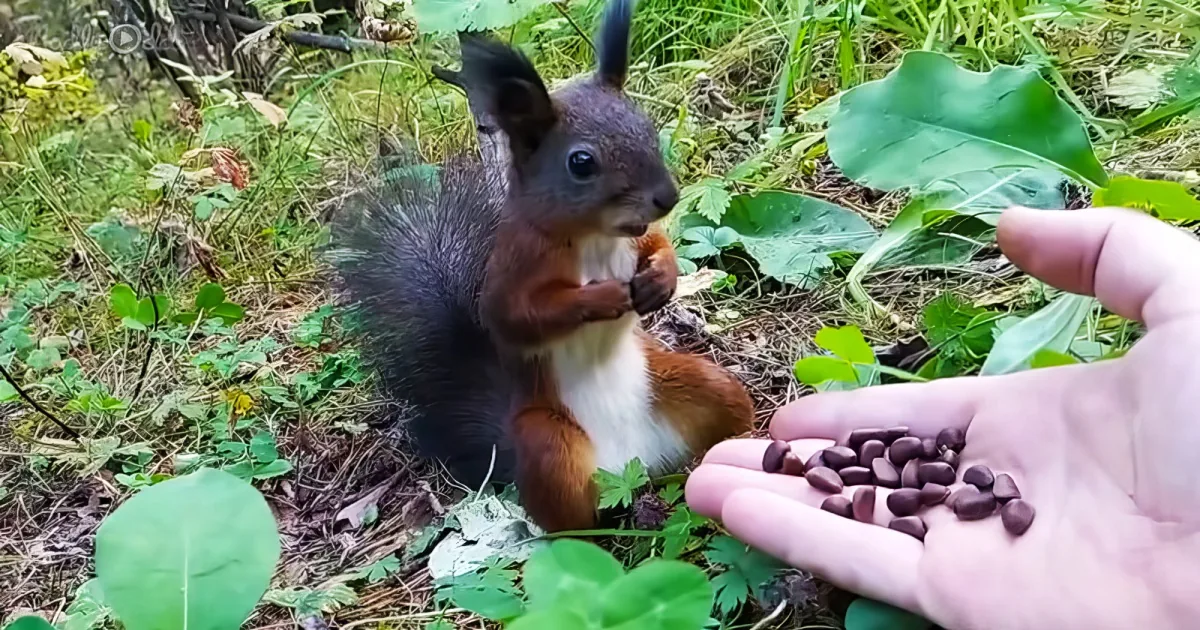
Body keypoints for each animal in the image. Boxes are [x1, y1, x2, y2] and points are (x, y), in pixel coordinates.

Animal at [332, 0, 754, 532]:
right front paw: (603, 296)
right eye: (581, 163)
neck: (597, 236)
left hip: (697, 386)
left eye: (648, 128)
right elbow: (516, 316)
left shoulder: (637, 236)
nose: (667, 197)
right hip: (548, 446)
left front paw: (661, 277)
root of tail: (632, 467)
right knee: (573, 523)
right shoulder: (517, 263)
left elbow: (658, 243)